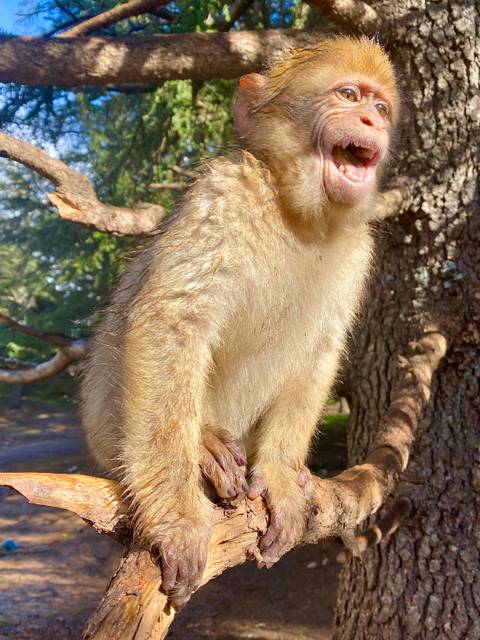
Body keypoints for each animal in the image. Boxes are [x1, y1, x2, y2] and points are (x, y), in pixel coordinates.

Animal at [80, 36, 399, 609]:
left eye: (381, 108)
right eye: (348, 95)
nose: (370, 121)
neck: (303, 217)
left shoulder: (359, 248)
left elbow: (321, 352)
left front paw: (278, 475)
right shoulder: (223, 191)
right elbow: (171, 319)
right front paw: (176, 518)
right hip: (106, 431)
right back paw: (204, 446)